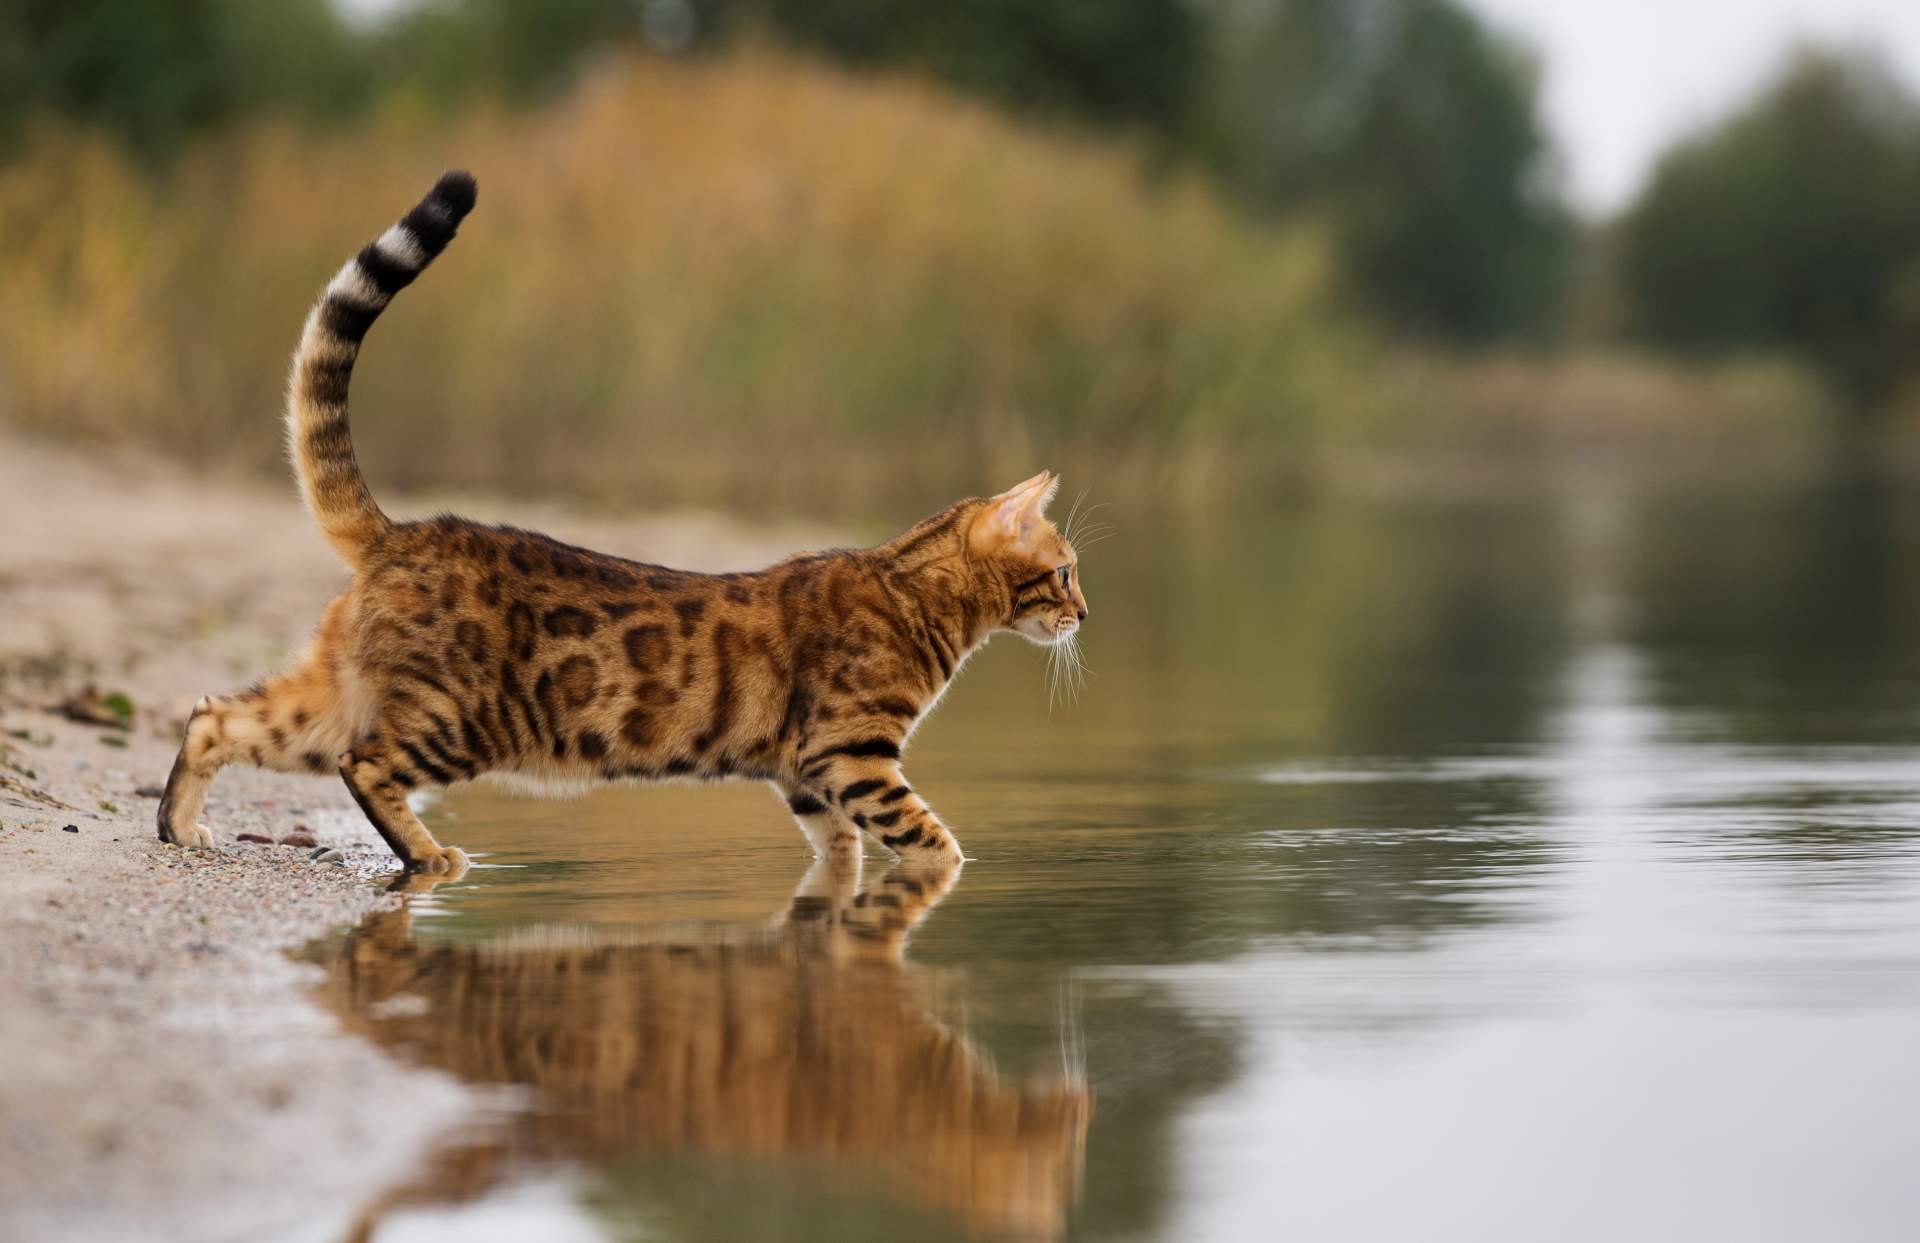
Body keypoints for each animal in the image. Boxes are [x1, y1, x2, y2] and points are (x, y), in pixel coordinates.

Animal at [157, 172, 1090, 876]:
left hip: (332, 697)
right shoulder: (849, 751)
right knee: (366, 765)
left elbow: (839, 847)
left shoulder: (804, 771)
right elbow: (929, 837)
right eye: (1067, 569)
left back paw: (179, 824)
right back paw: (429, 856)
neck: (915, 592)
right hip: (457, 720)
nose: (1085, 613)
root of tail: (403, 533)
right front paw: (948, 873)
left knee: (214, 714)